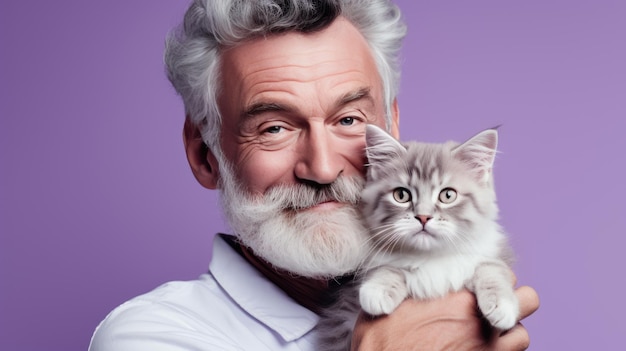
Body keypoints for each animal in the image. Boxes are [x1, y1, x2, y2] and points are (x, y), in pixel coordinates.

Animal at [316, 125, 516, 350]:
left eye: (448, 195)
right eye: (401, 195)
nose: (423, 217)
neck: (430, 257)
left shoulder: (491, 254)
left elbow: (491, 269)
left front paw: (502, 305)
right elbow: (390, 268)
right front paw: (377, 290)